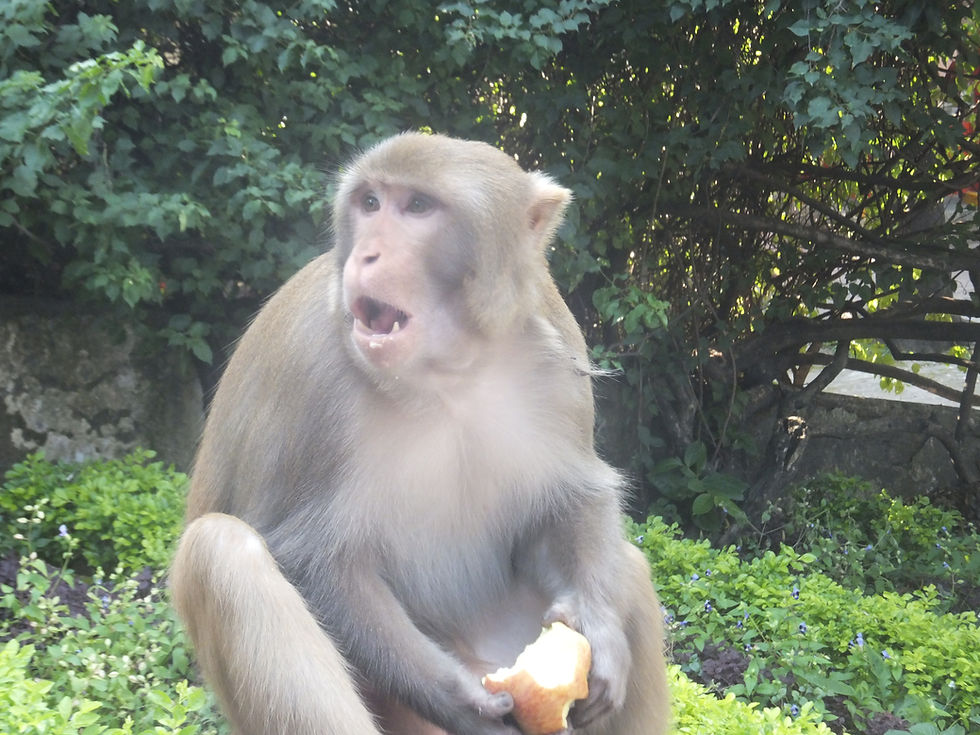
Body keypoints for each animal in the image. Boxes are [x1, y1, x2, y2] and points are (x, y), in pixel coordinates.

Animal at [170, 132, 669, 735]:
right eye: (370, 204)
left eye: (417, 207)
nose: (366, 254)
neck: (445, 373)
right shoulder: (311, 372)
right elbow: (315, 560)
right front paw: (460, 700)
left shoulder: (556, 339)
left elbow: (570, 500)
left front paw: (601, 633)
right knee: (221, 552)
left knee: (631, 566)